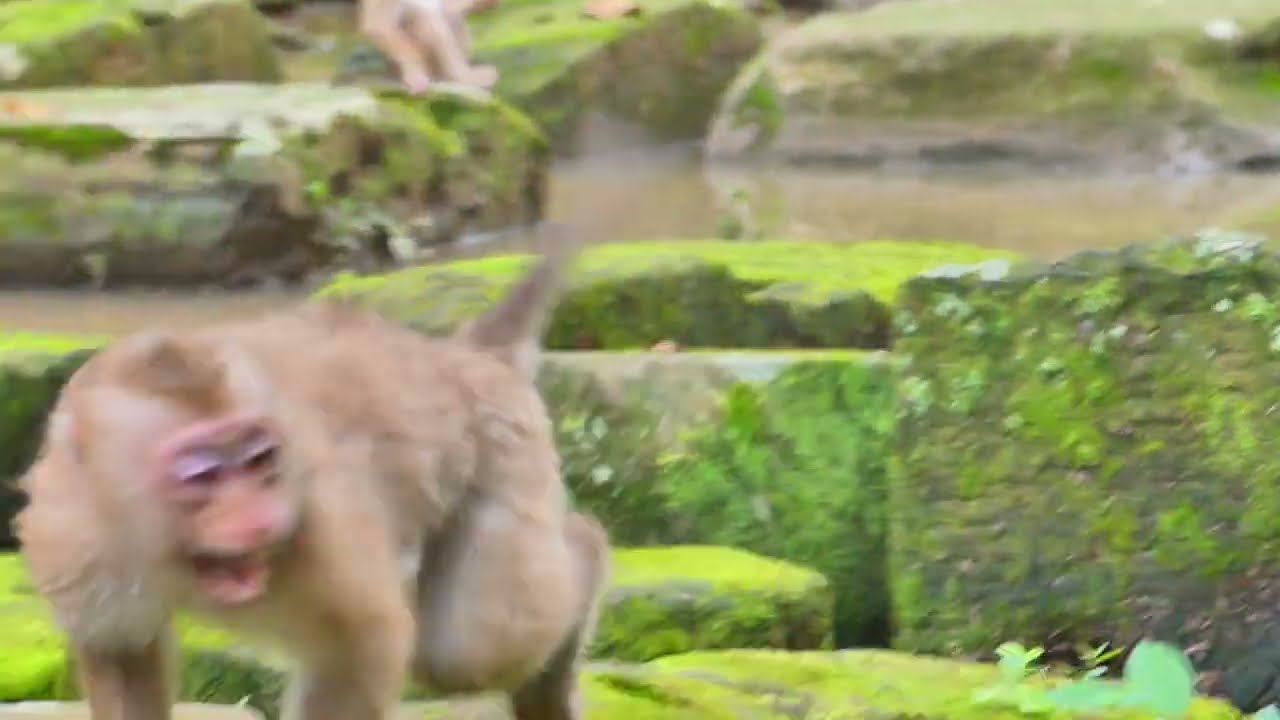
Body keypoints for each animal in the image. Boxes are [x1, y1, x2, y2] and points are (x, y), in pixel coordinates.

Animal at [14, 240, 610, 720]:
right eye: (203, 473)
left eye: (259, 460)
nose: (260, 520)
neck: (163, 542)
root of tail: (462, 356)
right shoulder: (71, 533)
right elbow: (121, 653)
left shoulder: (321, 518)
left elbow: (365, 639)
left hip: (508, 456)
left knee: (470, 651)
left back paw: (585, 548)